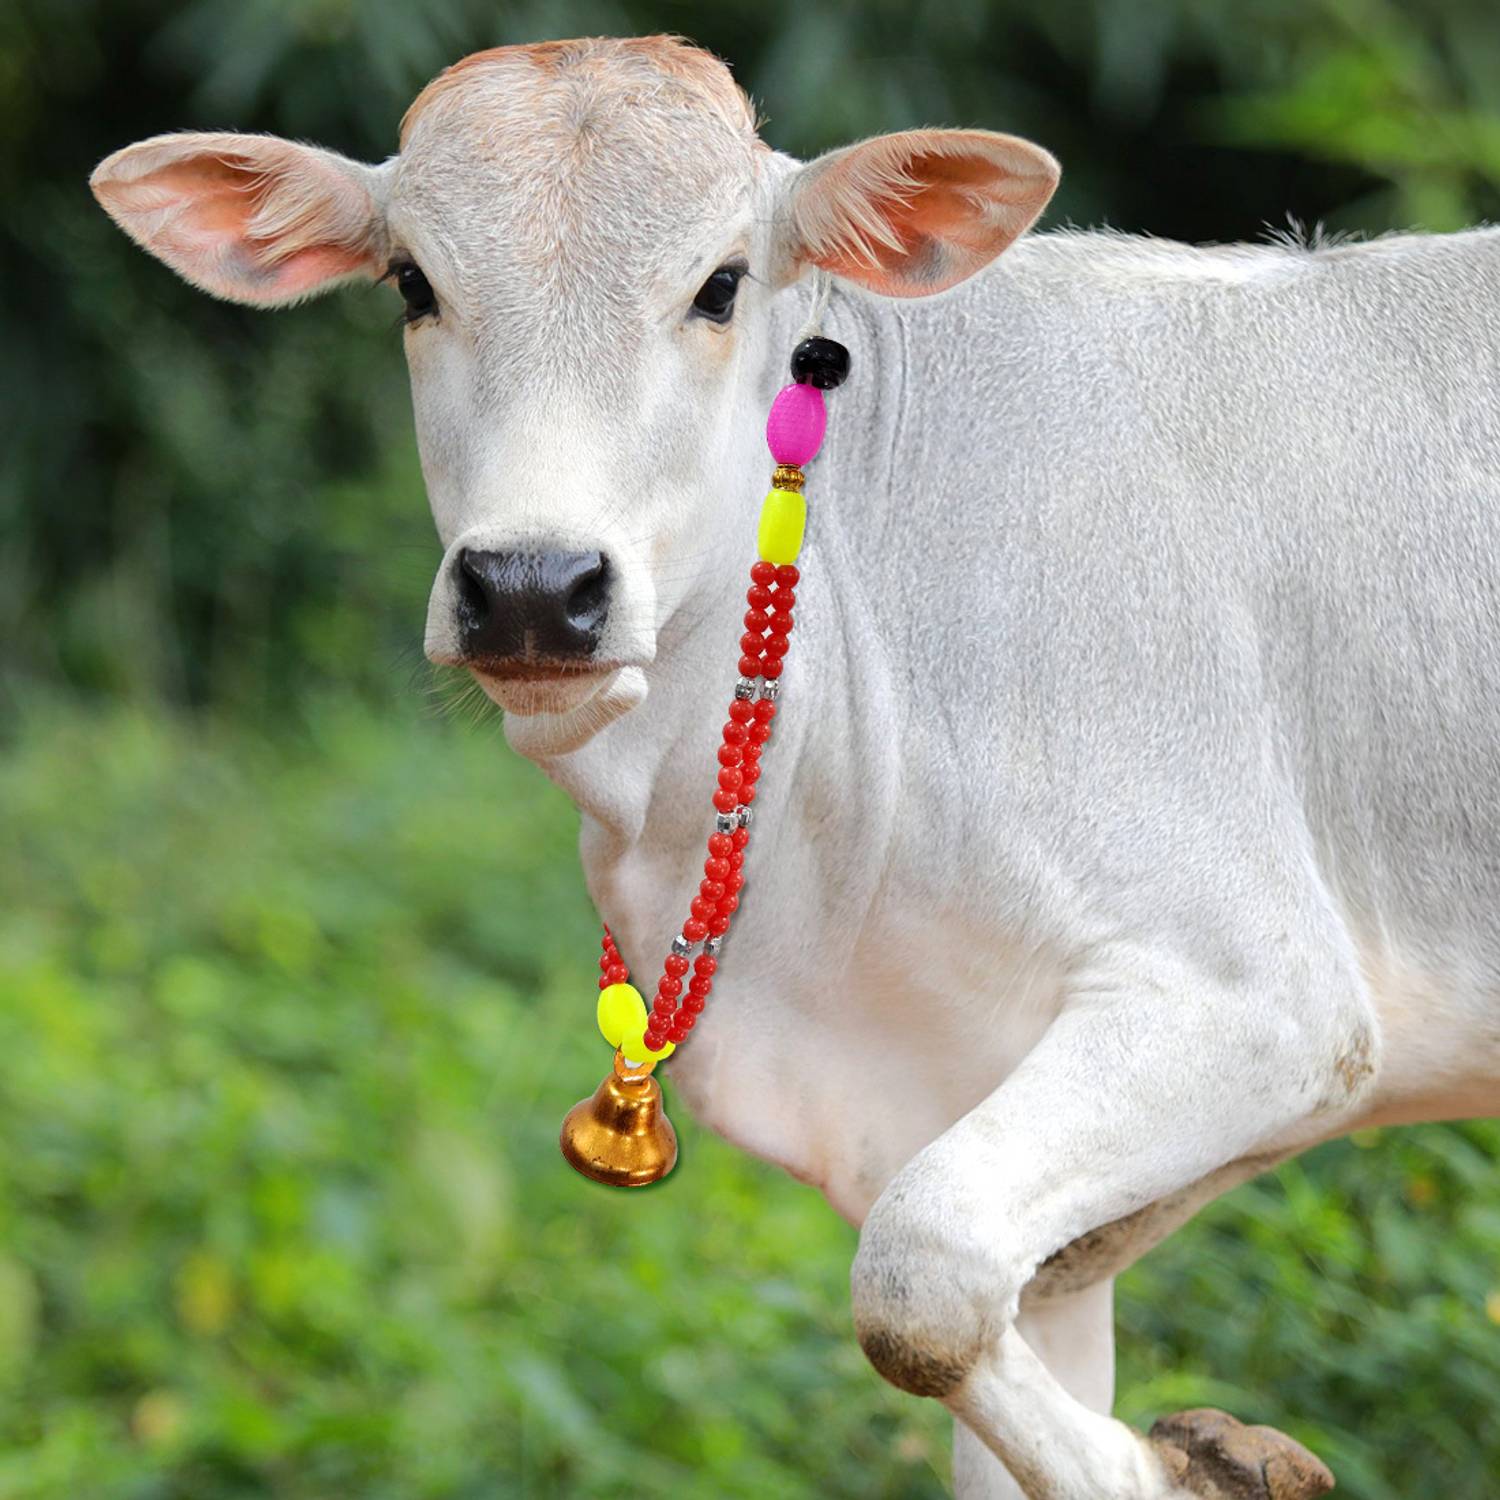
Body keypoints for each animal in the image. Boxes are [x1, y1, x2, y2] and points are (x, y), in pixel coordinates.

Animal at [89, 32, 1500, 1500]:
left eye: (720, 284)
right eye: (413, 283)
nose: (531, 589)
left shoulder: (1261, 997)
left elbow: (916, 1275)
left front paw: (1197, 1467)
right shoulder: (1015, 1176)